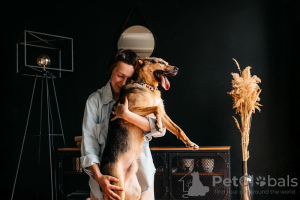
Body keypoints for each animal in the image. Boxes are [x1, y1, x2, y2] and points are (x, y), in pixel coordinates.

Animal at [101, 57, 199, 199]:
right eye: (161, 62)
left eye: (167, 62)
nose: (177, 68)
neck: (148, 87)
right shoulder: (128, 111)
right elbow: (155, 108)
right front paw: (157, 125)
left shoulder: (164, 114)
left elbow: (178, 128)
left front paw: (190, 143)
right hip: (117, 188)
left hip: (133, 190)